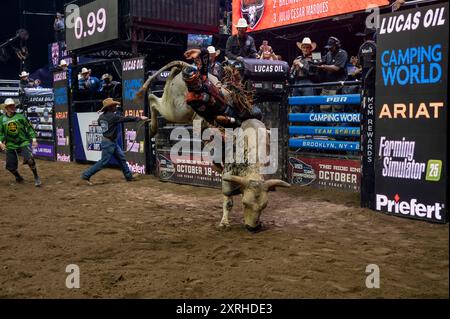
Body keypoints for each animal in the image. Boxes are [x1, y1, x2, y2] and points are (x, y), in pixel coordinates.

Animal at [136, 60, 288, 232]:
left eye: (264, 206)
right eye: (245, 204)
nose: (252, 228)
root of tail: (187, 65)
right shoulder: (228, 173)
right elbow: (228, 199)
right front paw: (224, 223)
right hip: (176, 109)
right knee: (153, 99)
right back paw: (152, 127)